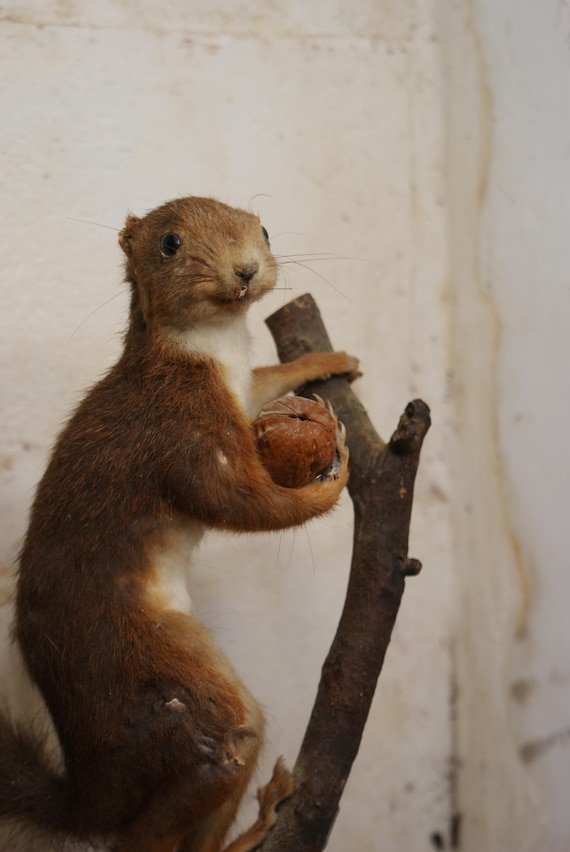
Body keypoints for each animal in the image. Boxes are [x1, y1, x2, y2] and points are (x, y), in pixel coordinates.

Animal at [0, 196, 359, 852]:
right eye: (169, 242)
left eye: (262, 228)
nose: (246, 270)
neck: (215, 353)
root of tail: (88, 789)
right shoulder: (180, 432)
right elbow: (240, 501)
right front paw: (332, 481)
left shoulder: (242, 395)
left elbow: (268, 381)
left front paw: (328, 359)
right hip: (160, 682)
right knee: (181, 788)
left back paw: (257, 824)